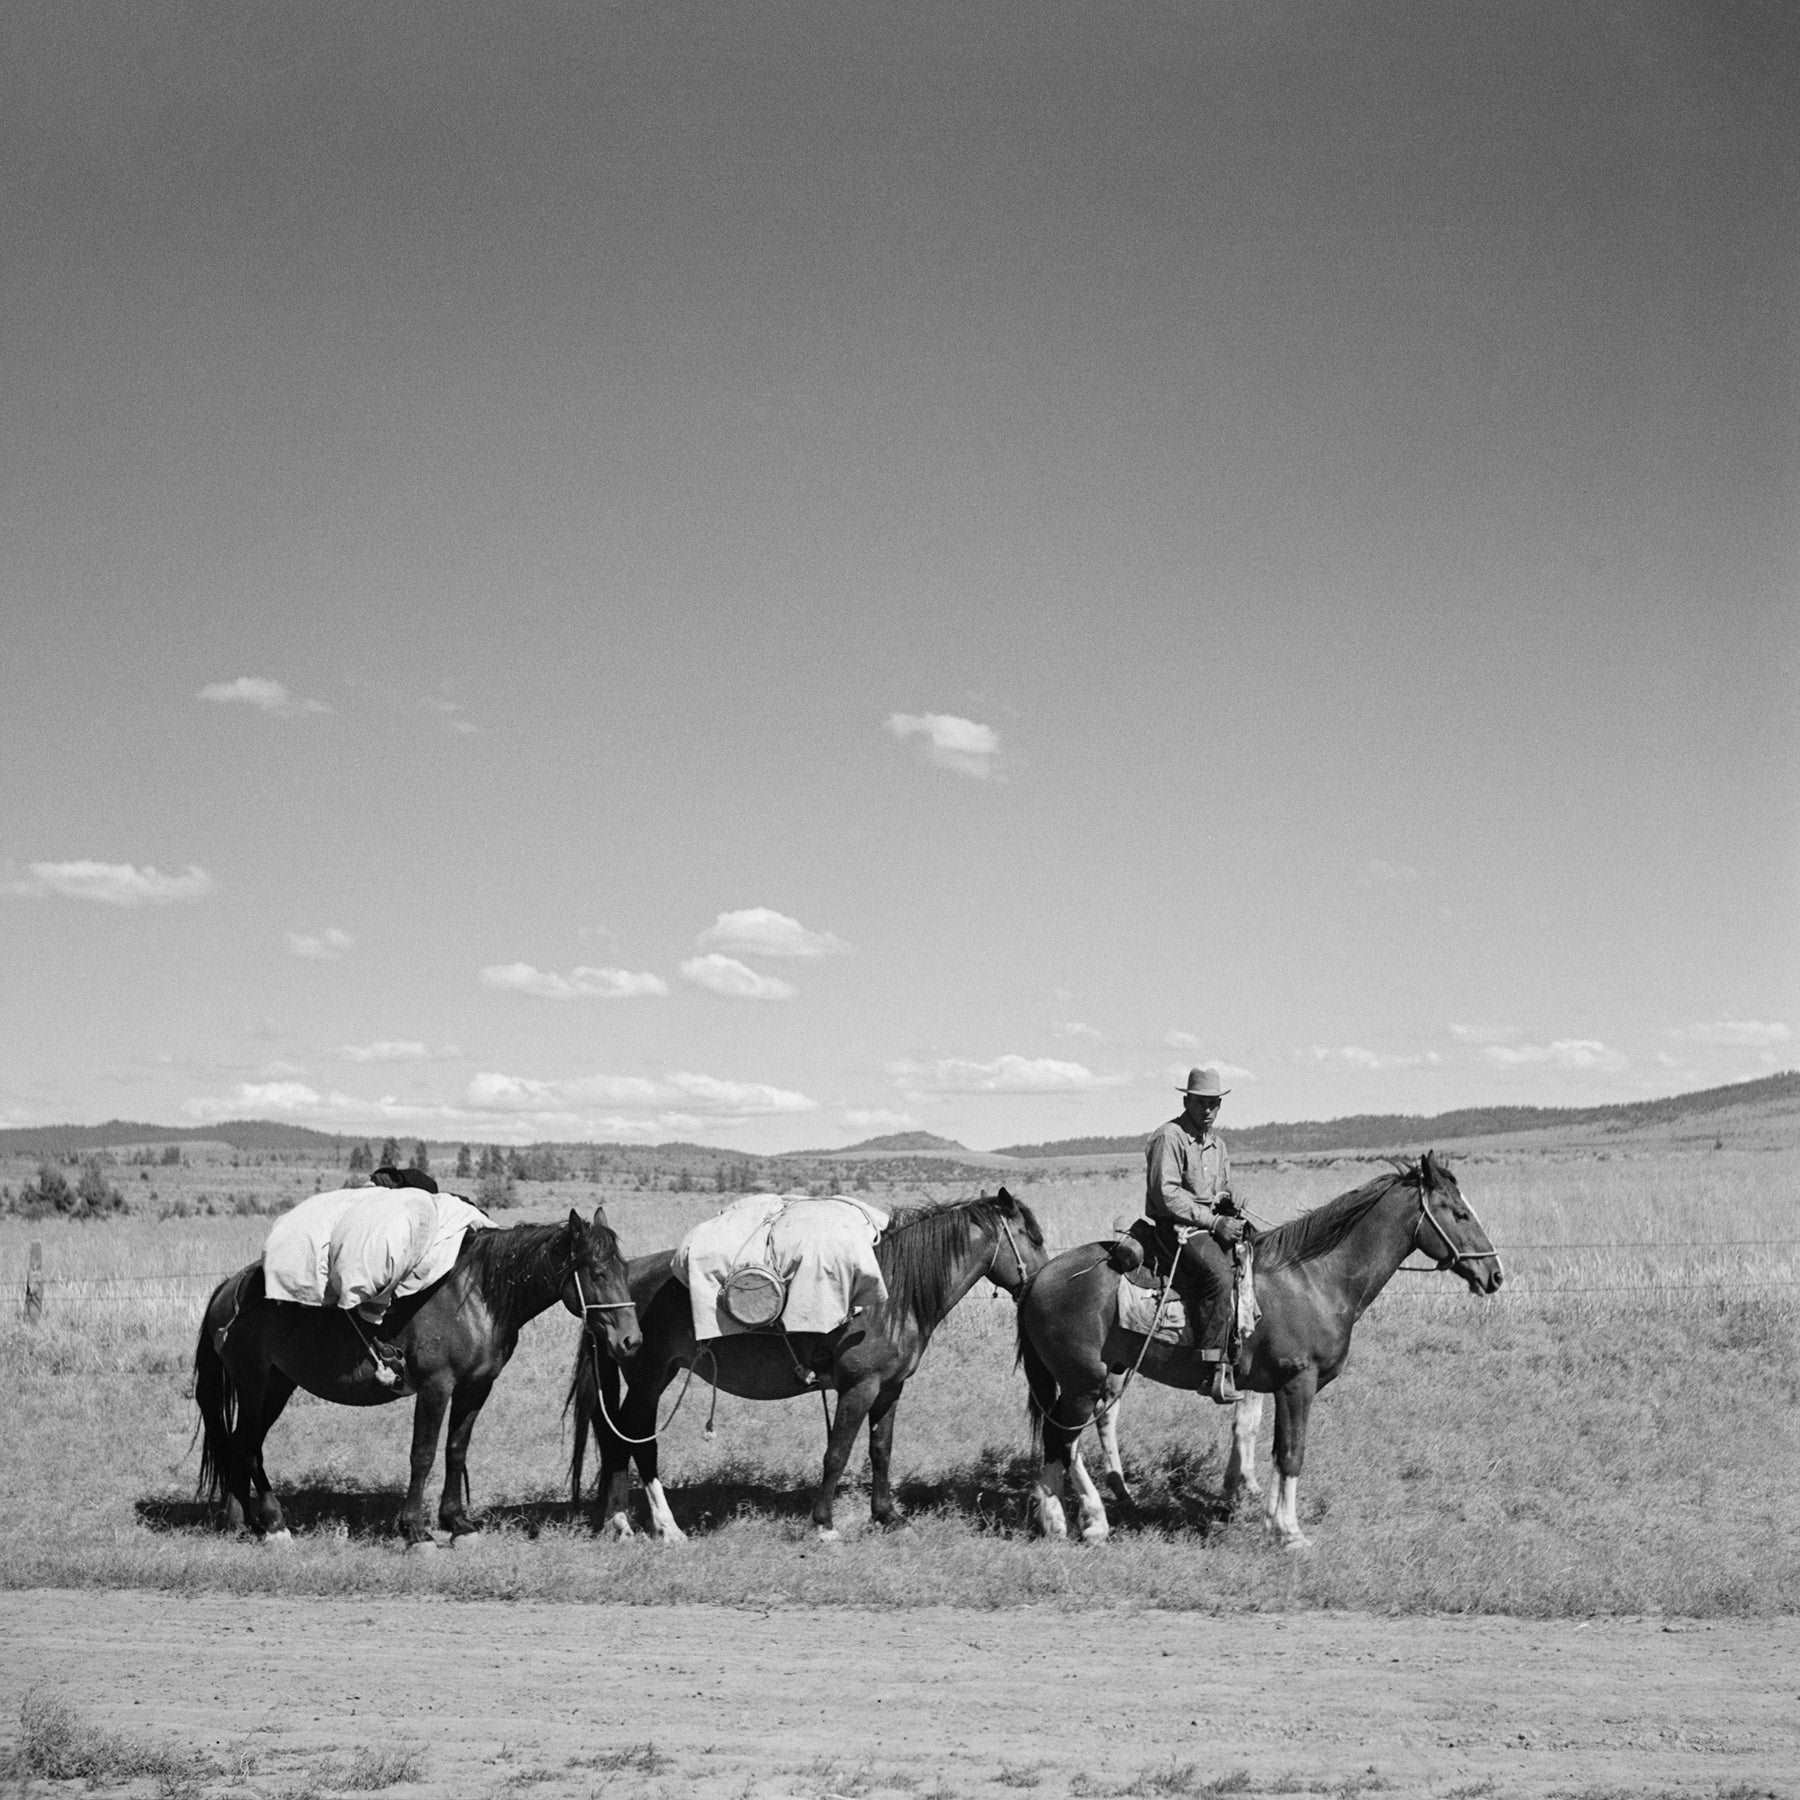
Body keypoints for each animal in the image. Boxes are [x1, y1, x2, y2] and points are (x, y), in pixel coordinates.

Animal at [195, 1209, 640, 1548]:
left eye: (624, 1269)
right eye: (598, 1272)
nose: (631, 1340)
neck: (475, 1297)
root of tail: (229, 1287)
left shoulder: (475, 1388)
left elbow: (456, 1450)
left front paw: (458, 1524)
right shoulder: (435, 1388)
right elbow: (422, 1455)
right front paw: (415, 1530)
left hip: (278, 1385)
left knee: (241, 1443)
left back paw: (241, 1522)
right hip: (253, 1384)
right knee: (249, 1446)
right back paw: (274, 1524)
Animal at [568, 1188, 1051, 1540]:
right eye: (1034, 1237)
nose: (1044, 1283)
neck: (891, 1296)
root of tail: (621, 1285)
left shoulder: (890, 1388)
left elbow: (880, 1450)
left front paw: (887, 1516)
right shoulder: (859, 1387)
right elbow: (837, 1453)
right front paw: (823, 1524)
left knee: (619, 1437)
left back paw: (621, 1522)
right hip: (648, 1378)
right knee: (634, 1439)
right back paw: (647, 1525)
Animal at [1015, 1152, 1504, 1548]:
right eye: (1460, 1213)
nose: (1495, 1274)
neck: (1314, 1280)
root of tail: (1040, 1277)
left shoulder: (1276, 1388)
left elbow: (1272, 1449)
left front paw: (1270, 1520)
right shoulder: (1297, 1384)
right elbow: (1292, 1453)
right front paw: (1290, 1533)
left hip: (1093, 1379)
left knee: (1062, 1441)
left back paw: (1061, 1519)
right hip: (1083, 1383)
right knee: (1065, 1441)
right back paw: (1084, 1521)